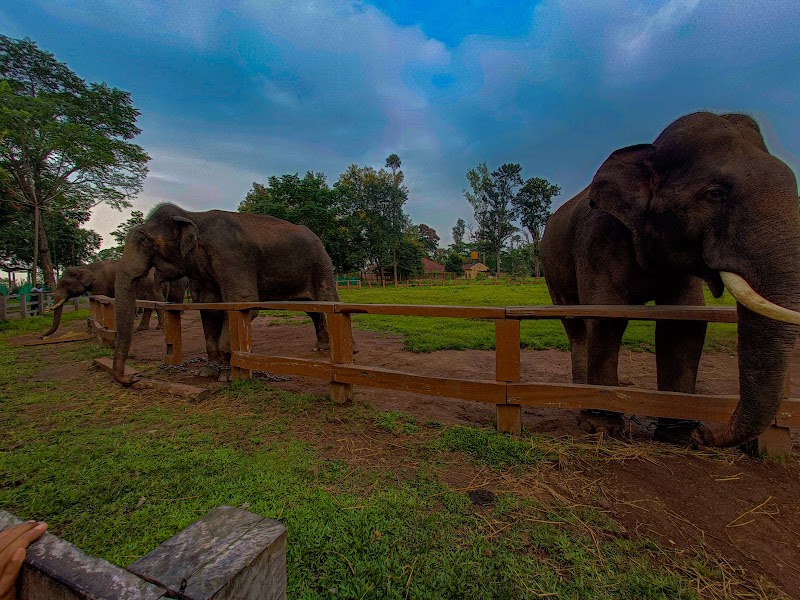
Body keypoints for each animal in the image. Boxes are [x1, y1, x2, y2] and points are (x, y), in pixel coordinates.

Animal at [111, 204, 344, 385]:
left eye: (144, 241)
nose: (132, 378)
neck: (194, 215)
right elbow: (210, 309)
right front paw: (207, 372)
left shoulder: (232, 256)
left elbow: (244, 303)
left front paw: (228, 376)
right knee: (313, 309)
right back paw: (321, 348)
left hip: (321, 263)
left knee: (328, 301)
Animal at [540, 112, 800, 448]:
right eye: (714, 194)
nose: (706, 432)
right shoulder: (596, 240)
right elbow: (607, 316)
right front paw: (603, 428)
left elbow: (682, 322)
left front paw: (680, 434)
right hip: (553, 270)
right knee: (576, 326)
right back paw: (582, 403)